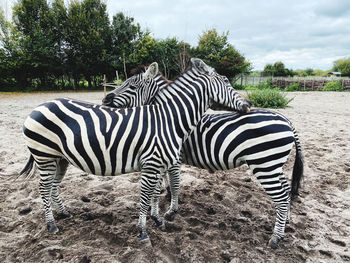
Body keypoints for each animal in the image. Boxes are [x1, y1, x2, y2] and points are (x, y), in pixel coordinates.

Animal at [19, 57, 252, 243]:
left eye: (132, 85)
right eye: (226, 81)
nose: (249, 104)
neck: (170, 119)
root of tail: (40, 106)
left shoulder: (160, 164)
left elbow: (156, 192)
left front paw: (157, 219)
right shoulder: (152, 164)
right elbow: (146, 196)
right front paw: (143, 231)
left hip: (60, 158)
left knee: (52, 186)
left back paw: (64, 213)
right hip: (44, 155)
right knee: (43, 188)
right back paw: (51, 224)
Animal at [101, 63, 304, 249]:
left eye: (131, 86)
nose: (105, 99)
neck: (169, 118)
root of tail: (287, 121)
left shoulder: (172, 159)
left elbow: (173, 184)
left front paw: (170, 211)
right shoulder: (162, 157)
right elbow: (164, 184)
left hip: (264, 164)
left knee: (281, 196)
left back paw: (276, 237)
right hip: (274, 164)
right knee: (286, 191)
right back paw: (285, 223)